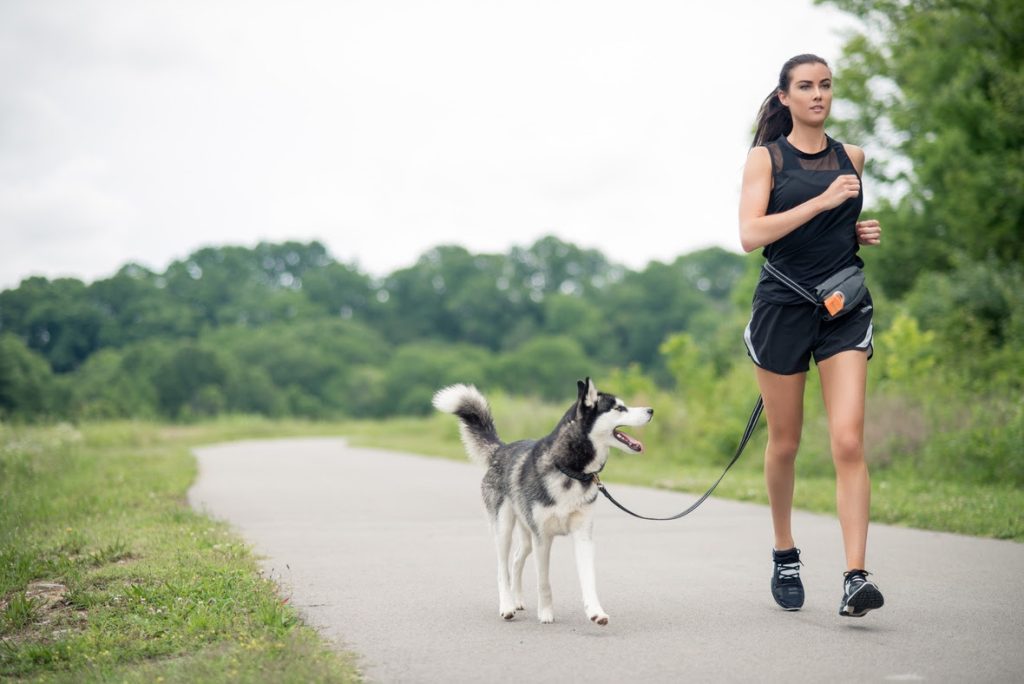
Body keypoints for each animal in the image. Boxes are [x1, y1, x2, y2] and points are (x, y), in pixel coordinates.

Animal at [428, 378, 651, 626]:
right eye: (619, 408)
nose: (650, 410)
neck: (570, 470)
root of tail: (501, 449)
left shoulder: (583, 535)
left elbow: (588, 579)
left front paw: (596, 611)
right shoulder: (542, 537)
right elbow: (543, 582)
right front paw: (545, 613)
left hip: (526, 535)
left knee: (516, 560)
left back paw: (517, 599)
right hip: (504, 529)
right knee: (502, 569)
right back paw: (507, 605)